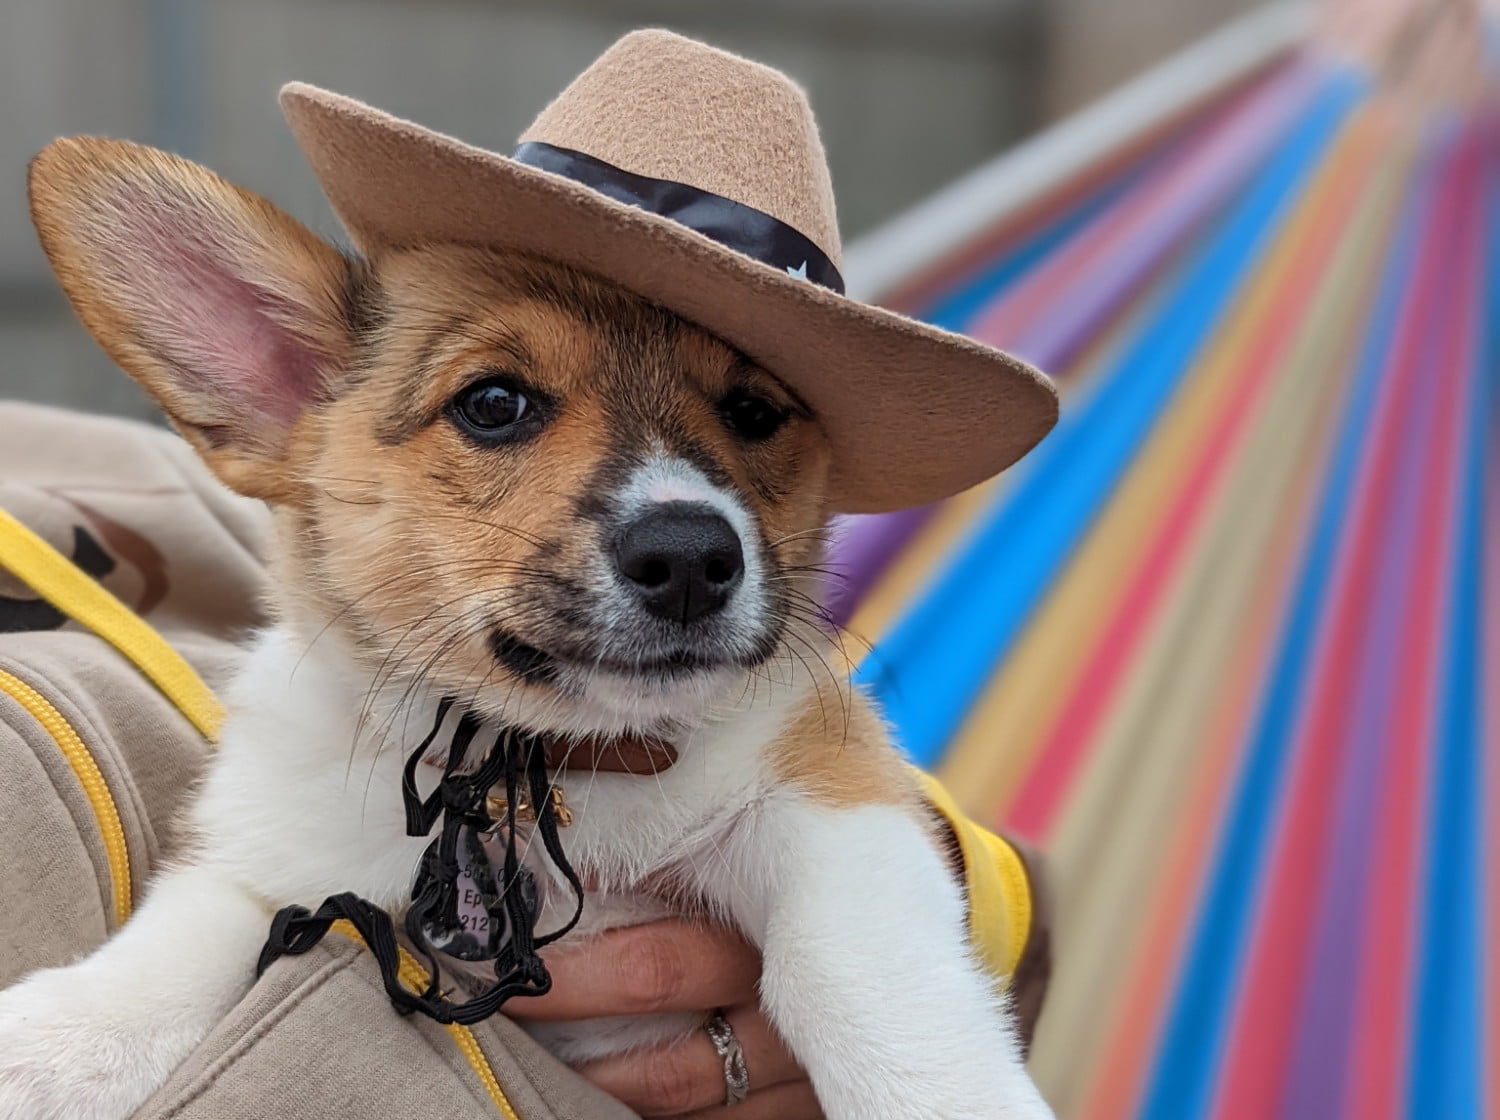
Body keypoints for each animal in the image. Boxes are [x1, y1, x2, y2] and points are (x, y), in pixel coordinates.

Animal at [0, 140, 1056, 1120]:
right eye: (493, 403)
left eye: (754, 411)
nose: (690, 559)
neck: (551, 759)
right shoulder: (277, 850)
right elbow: (193, 930)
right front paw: (57, 1044)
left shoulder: (826, 791)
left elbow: (853, 970)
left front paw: (946, 1095)